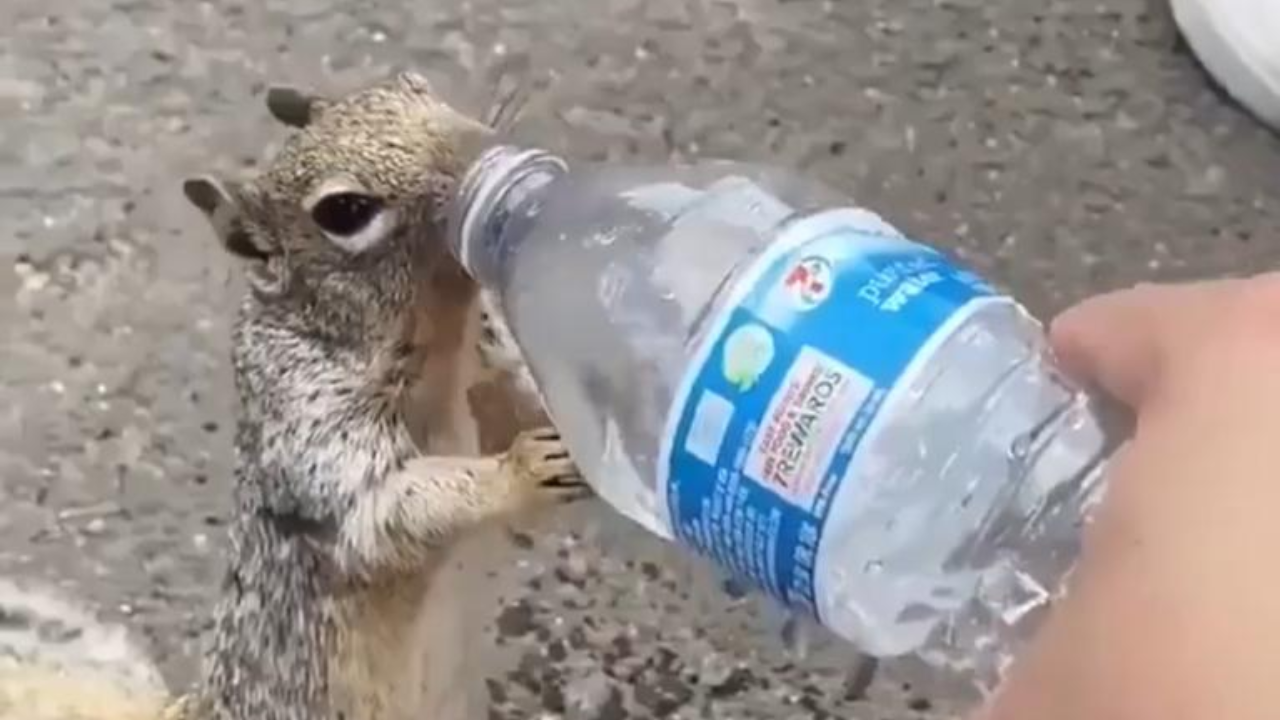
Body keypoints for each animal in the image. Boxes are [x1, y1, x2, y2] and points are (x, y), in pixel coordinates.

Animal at [0, 71, 588, 717]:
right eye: (344, 210)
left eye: (413, 84)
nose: (489, 153)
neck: (443, 342)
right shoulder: (308, 421)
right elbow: (384, 509)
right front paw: (525, 469)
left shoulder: (488, 370)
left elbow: (520, 402)